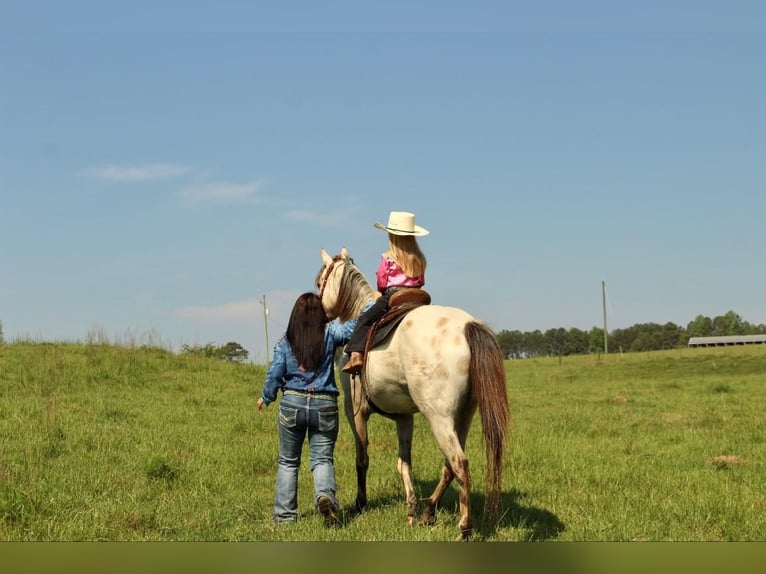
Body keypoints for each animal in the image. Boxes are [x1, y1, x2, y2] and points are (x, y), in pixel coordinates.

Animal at [316, 246, 512, 540]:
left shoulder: (355, 411)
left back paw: (464, 528)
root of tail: (468, 327)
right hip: (464, 415)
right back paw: (427, 512)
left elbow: (362, 458)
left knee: (459, 463)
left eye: (320, 282)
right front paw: (409, 509)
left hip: (439, 418)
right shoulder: (404, 417)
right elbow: (404, 462)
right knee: (448, 466)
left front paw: (360, 504)